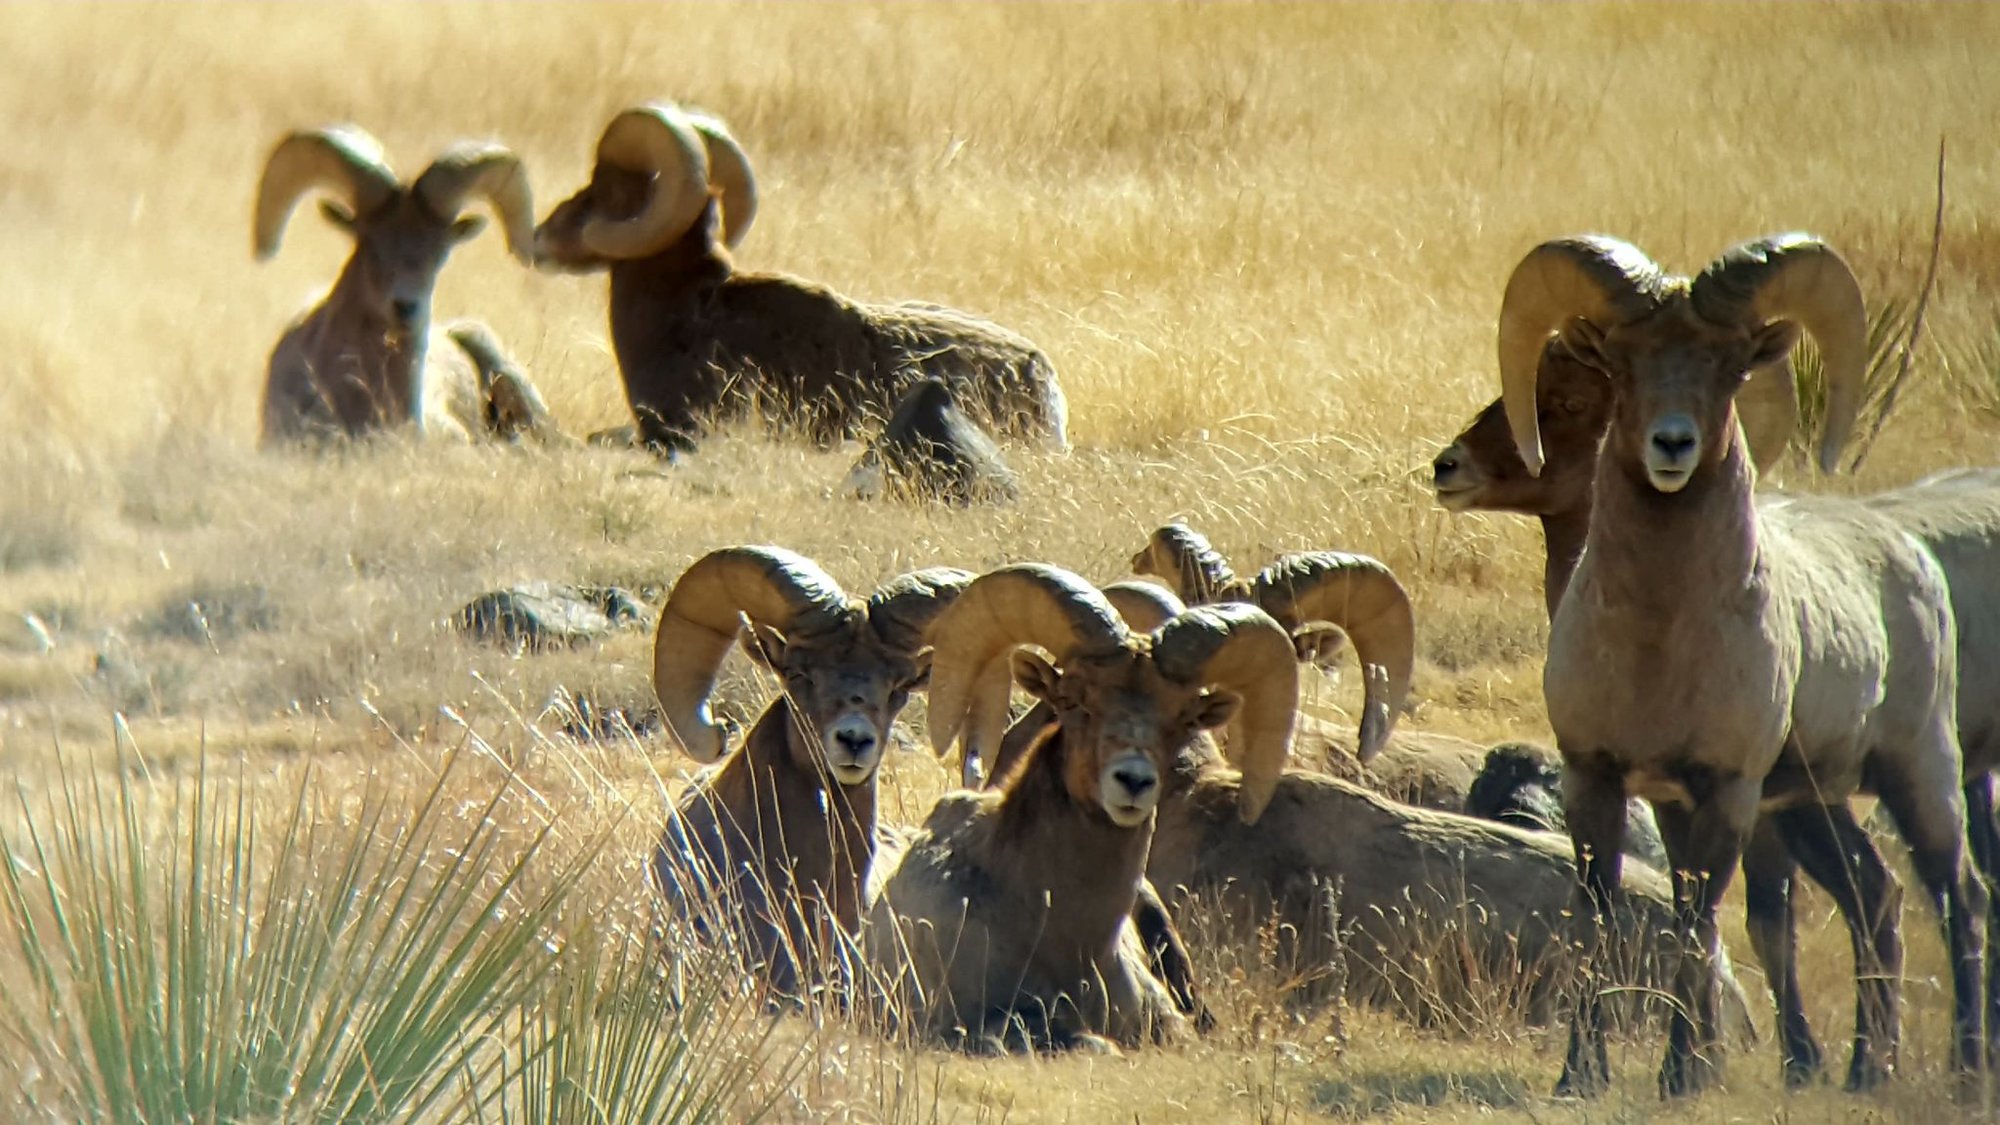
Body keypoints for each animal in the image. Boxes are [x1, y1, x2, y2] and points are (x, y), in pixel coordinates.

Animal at [1438, 315, 2000, 1088]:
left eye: (1572, 402)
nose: (1449, 466)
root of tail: (1913, 556)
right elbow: (1727, 920)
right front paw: (1745, 1063)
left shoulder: (1738, 802)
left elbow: (1738, 919)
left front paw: (1718, 1064)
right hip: (1828, 796)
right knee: (1878, 894)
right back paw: (1868, 1069)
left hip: (1917, 774)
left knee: (1955, 895)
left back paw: (1961, 1069)